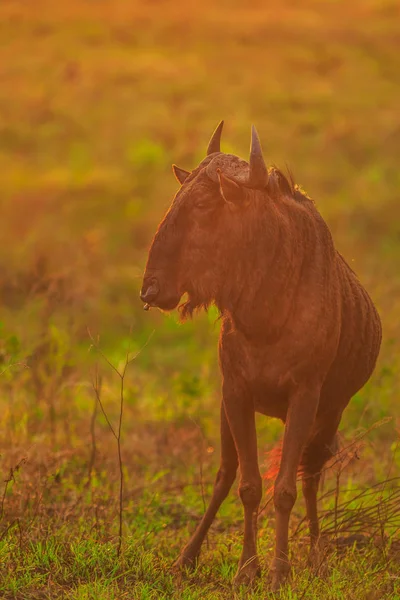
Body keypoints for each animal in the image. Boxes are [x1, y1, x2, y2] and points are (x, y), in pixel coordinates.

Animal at [140, 122, 382, 592]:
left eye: (203, 204)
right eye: (177, 198)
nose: (150, 290)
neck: (268, 306)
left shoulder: (305, 397)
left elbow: (285, 489)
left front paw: (279, 572)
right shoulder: (235, 393)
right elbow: (247, 485)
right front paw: (246, 569)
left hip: (328, 418)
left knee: (310, 477)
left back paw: (317, 558)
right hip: (230, 412)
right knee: (224, 475)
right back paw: (186, 558)